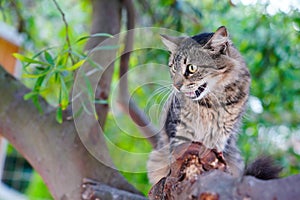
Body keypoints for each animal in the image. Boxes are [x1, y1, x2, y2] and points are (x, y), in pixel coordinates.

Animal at [147, 26, 251, 184]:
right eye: (173, 68)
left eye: (191, 68)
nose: (176, 86)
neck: (210, 105)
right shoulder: (180, 131)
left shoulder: (220, 136)